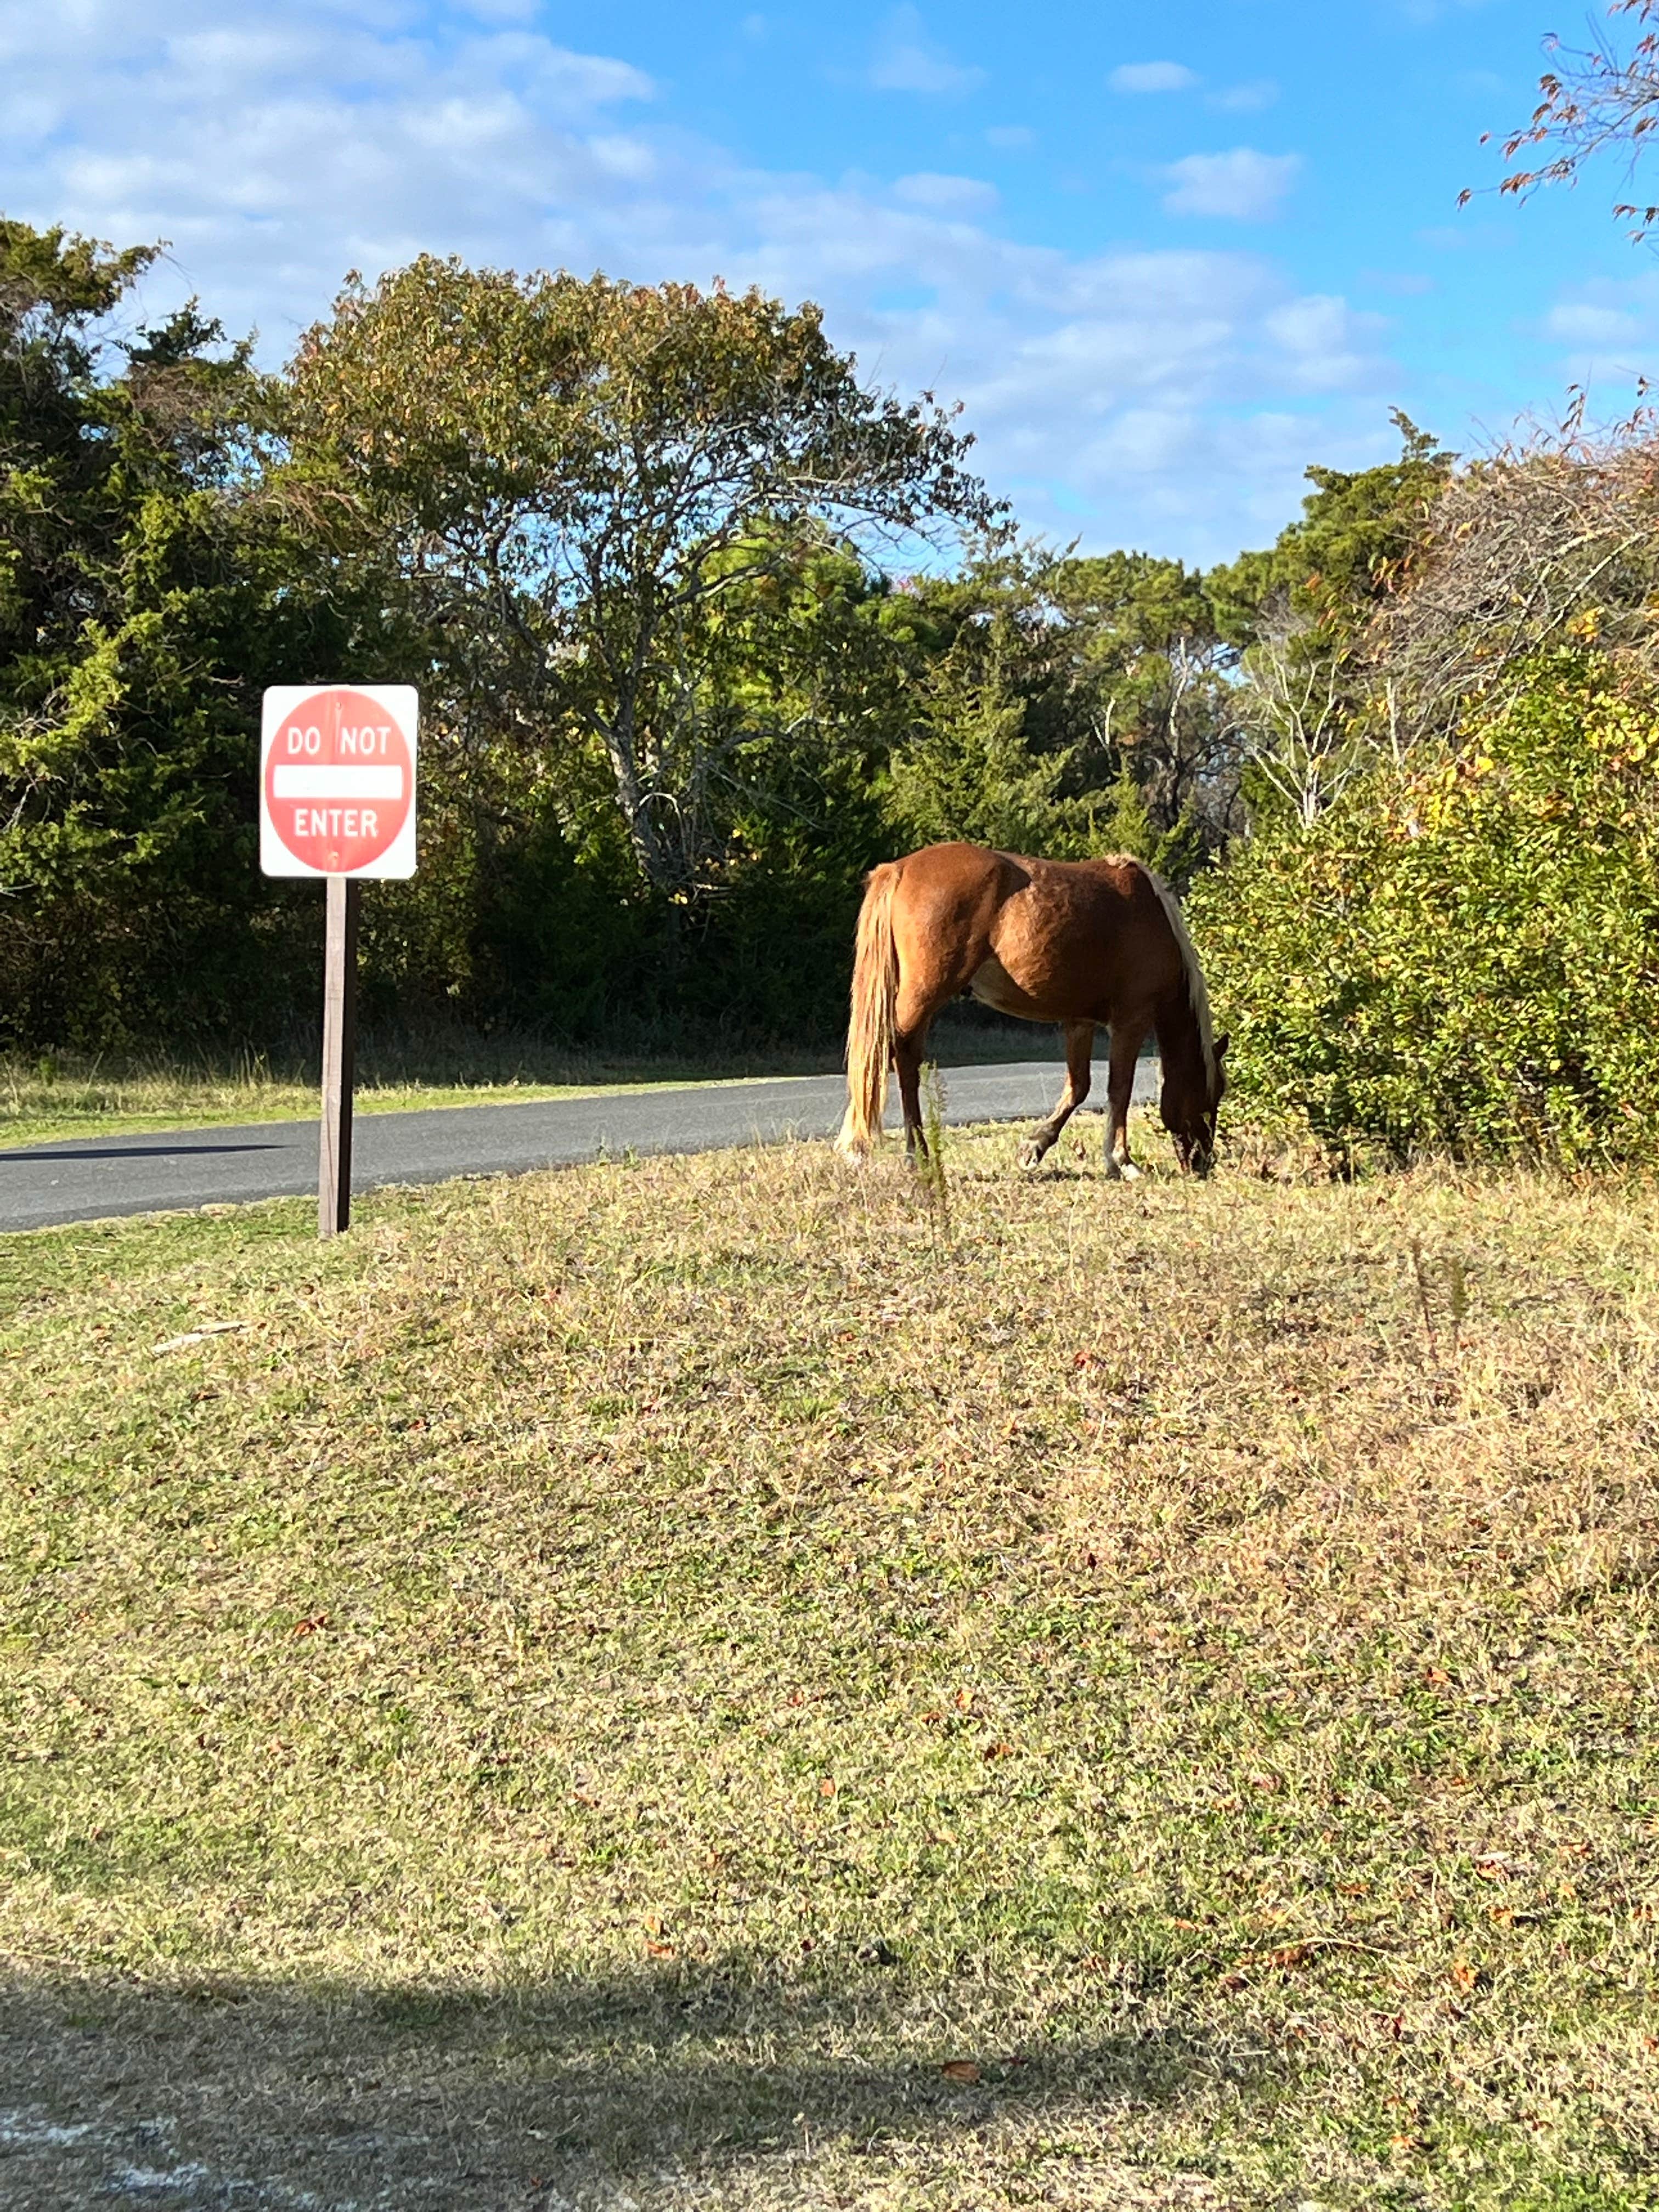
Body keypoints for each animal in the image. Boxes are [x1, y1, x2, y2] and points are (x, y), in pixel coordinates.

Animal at [837, 842, 1226, 1176]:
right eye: (1213, 1092)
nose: (1202, 1163)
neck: (1152, 915)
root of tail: (899, 869)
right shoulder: (1131, 1020)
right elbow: (1119, 1088)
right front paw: (1122, 1160)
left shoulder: (1080, 1021)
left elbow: (1079, 1086)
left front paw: (1034, 1148)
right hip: (922, 996)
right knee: (896, 1057)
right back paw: (911, 1154)